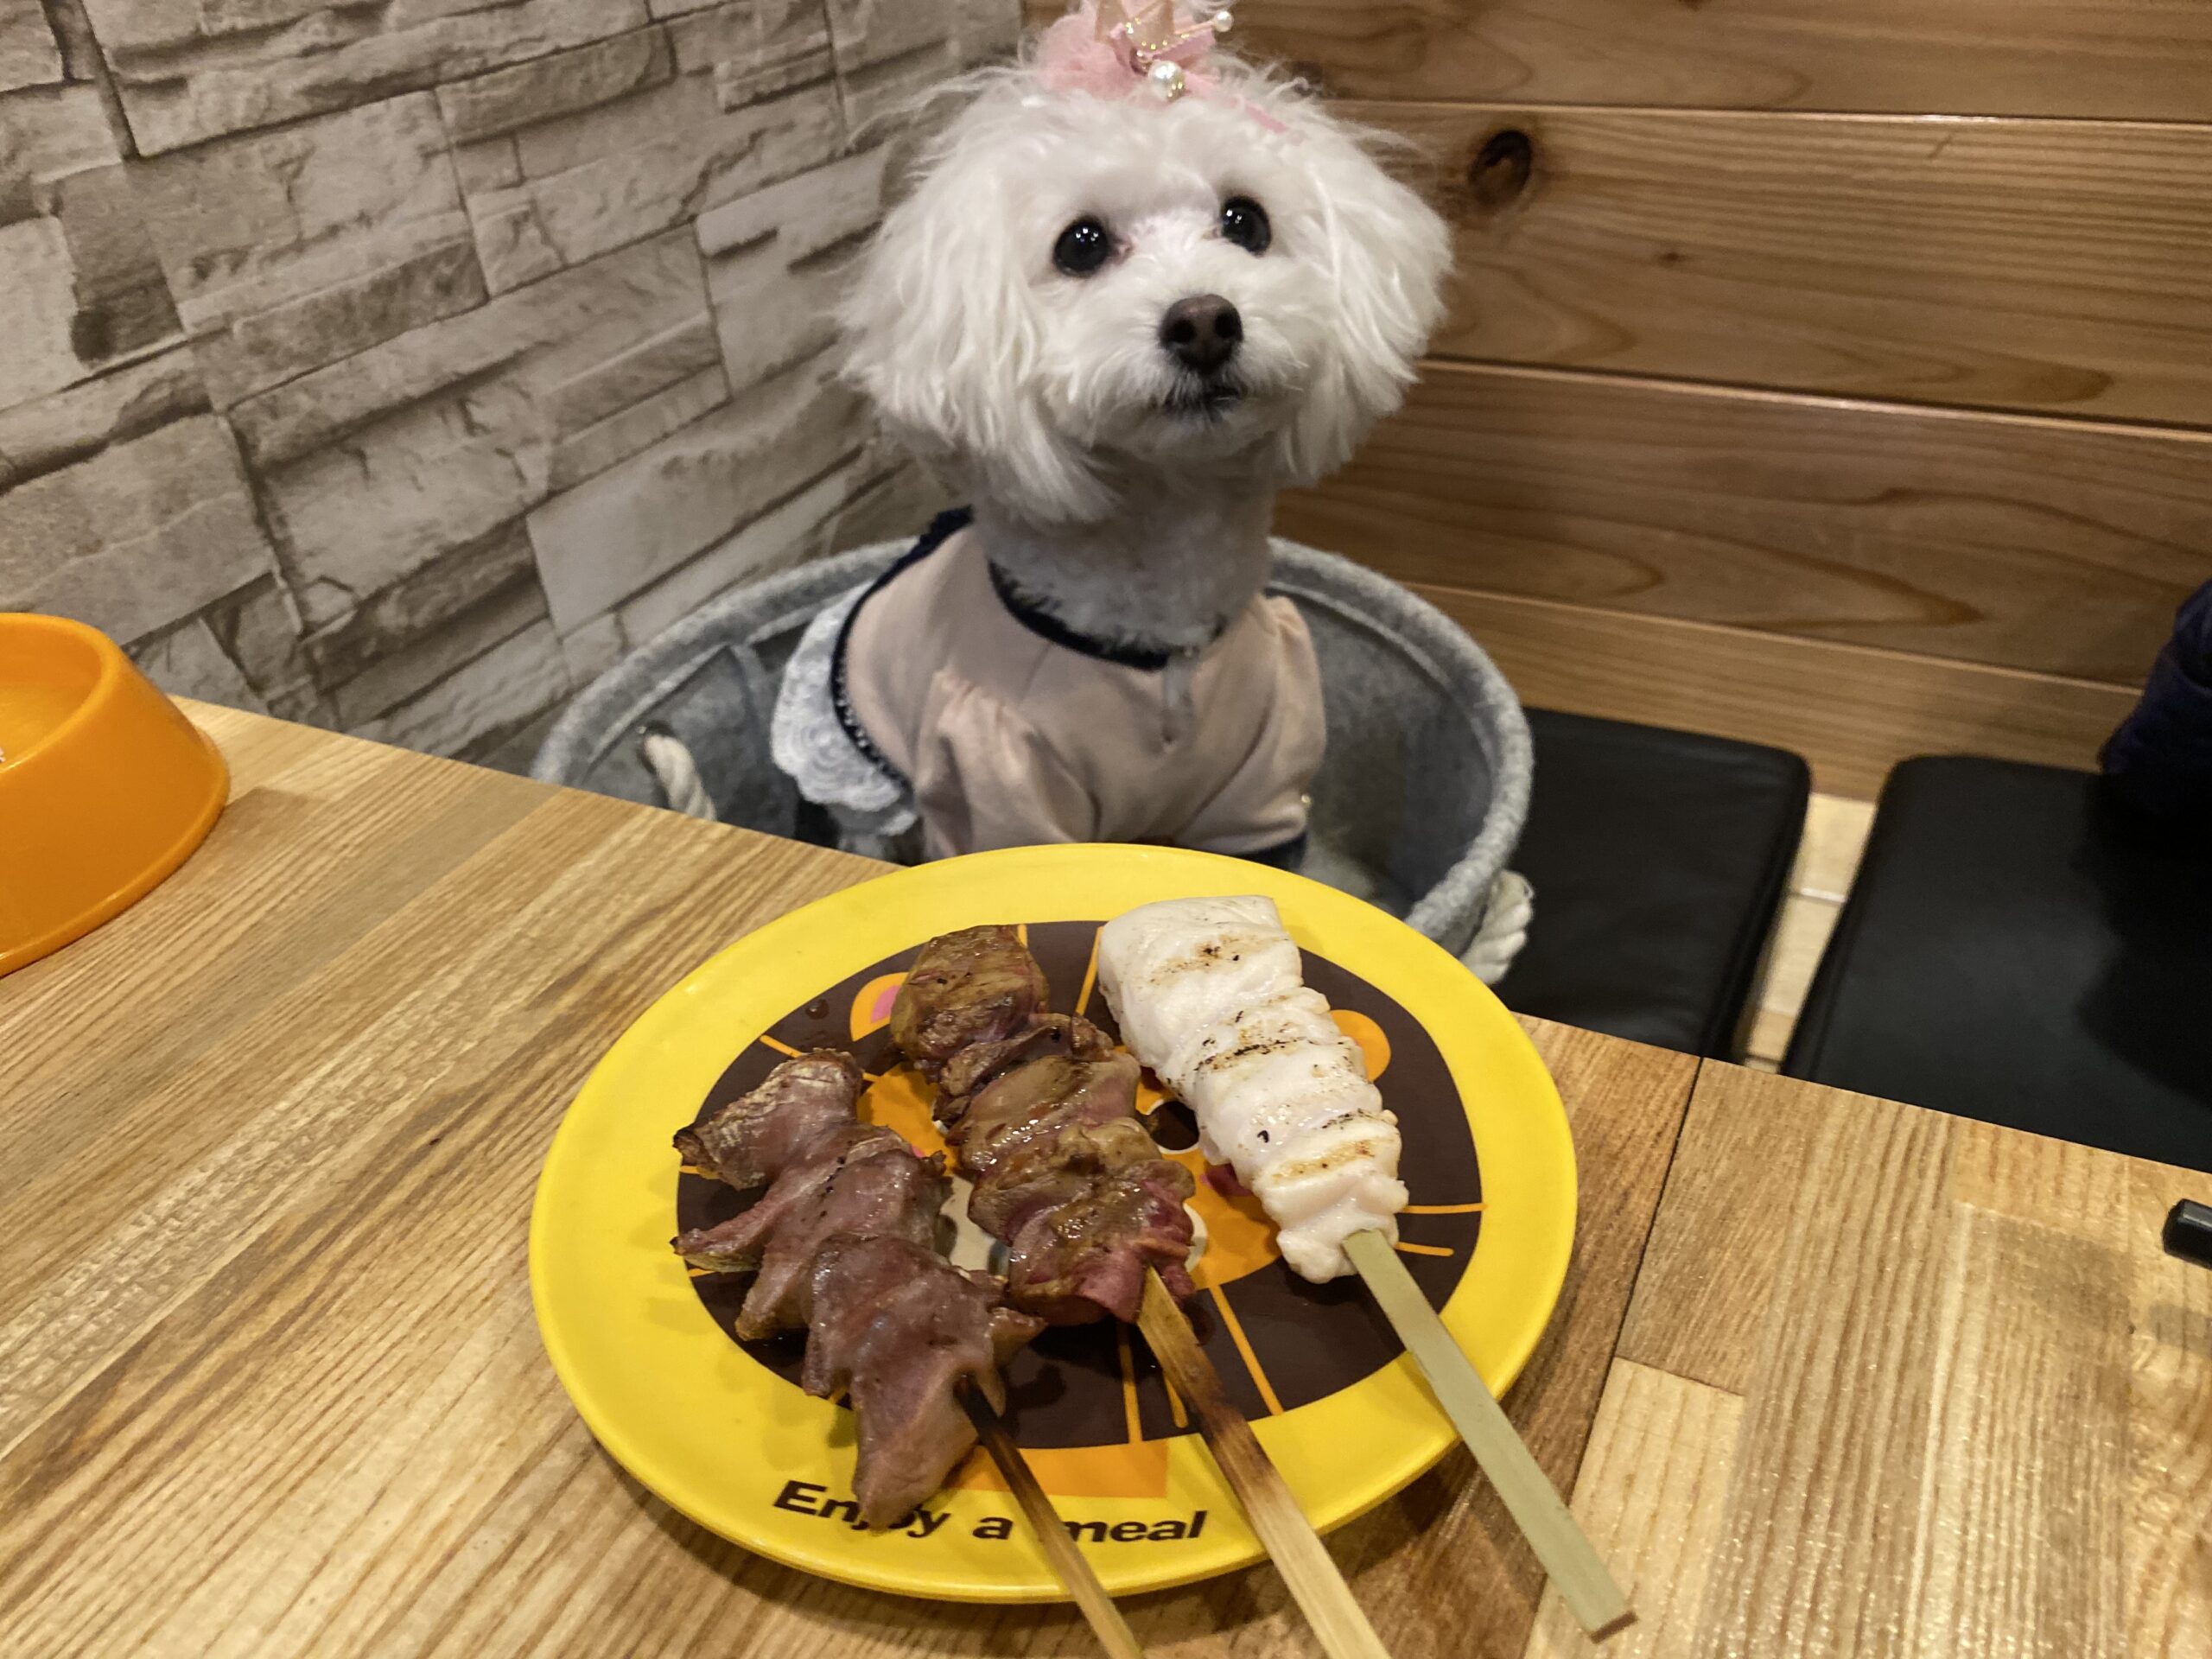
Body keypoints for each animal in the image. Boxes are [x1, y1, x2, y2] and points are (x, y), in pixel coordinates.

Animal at [769, 6, 1459, 871]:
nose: (1205, 322)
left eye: (1246, 221)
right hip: (860, 780)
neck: (1160, 642)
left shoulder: (1261, 788)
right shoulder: (1001, 784)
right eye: (1082, 244)